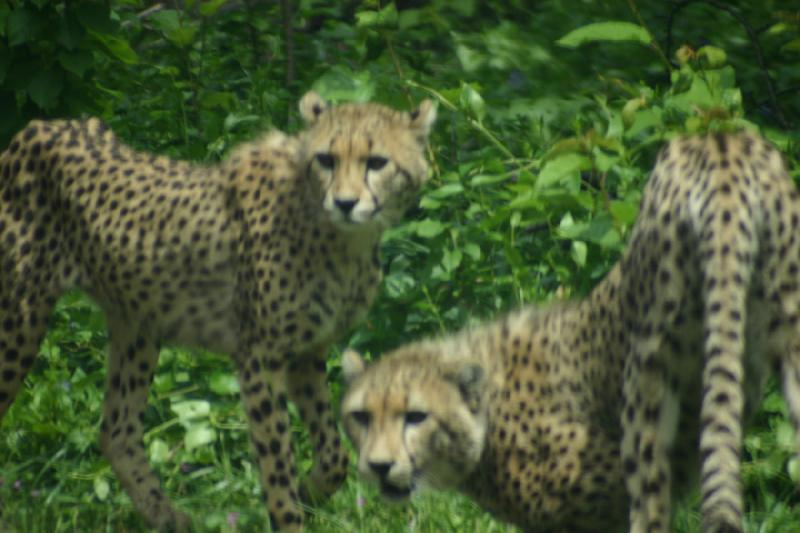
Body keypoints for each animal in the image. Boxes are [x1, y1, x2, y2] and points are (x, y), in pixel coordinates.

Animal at [0, 89, 438, 528]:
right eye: (326, 159)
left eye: (376, 162)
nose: (345, 203)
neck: (339, 237)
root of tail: (40, 126)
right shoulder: (260, 357)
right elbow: (277, 461)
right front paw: (290, 514)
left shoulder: (307, 352)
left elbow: (333, 455)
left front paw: (309, 493)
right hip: (21, 314)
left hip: (136, 320)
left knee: (116, 430)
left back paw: (167, 517)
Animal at [342, 130, 800, 532]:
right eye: (361, 417)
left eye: (415, 416)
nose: (379, 466)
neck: (487, 413)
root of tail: (719, 140)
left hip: (647, 387)